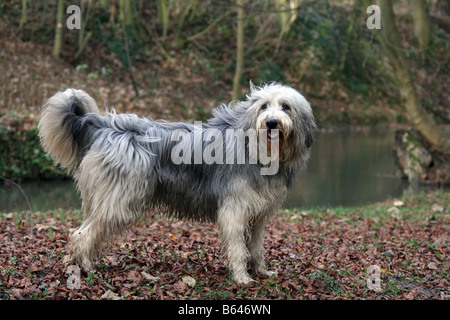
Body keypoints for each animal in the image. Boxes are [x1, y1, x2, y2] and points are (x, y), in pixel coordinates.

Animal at [38, 82, 314, 282]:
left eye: (286, 107)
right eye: (264, 106)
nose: (271, 123)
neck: (255, 147)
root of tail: (104, 126)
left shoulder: (257, 214)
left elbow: (255, 247)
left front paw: (261, 271)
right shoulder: (235, 210)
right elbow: (237, 247)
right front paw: (242, 278)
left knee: (84, 230)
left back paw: (79, 263)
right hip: (120, 200)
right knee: (83, 234)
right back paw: (85, 267)